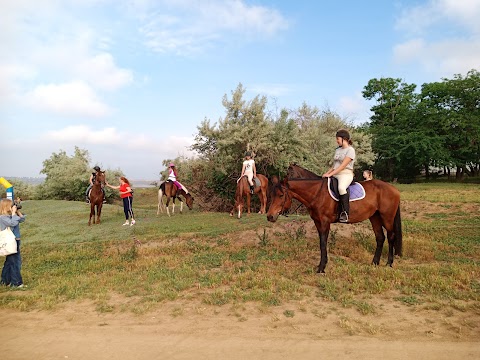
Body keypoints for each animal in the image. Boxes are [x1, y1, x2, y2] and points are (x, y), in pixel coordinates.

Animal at [266, 165, 402, 272]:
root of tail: (394, 189)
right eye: (272, 194)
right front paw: (321, 265)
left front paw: (321, 268)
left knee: (391, 237)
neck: (317, 192)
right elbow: (321, 242)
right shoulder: (317, 221)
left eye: (281, 195)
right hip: (375, 217)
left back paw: (389, 263)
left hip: (387, 218)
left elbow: (323, 242)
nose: (270, 216)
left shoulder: (325, 222)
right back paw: (374, 263)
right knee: (380, 238)